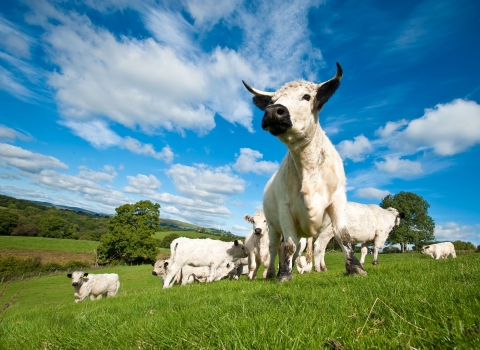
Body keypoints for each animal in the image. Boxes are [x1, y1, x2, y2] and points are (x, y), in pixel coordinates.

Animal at [242, 62, 366, 282]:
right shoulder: (285, 210)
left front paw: (355, 268)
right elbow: (288, 246)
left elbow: (344, 236)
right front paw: (284, 275)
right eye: (272, 101)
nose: (273, 111)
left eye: (307, 96)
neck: (308, 167)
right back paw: (271, 273)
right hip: (273, 226)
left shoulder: (337, 200)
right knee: (276, 247)